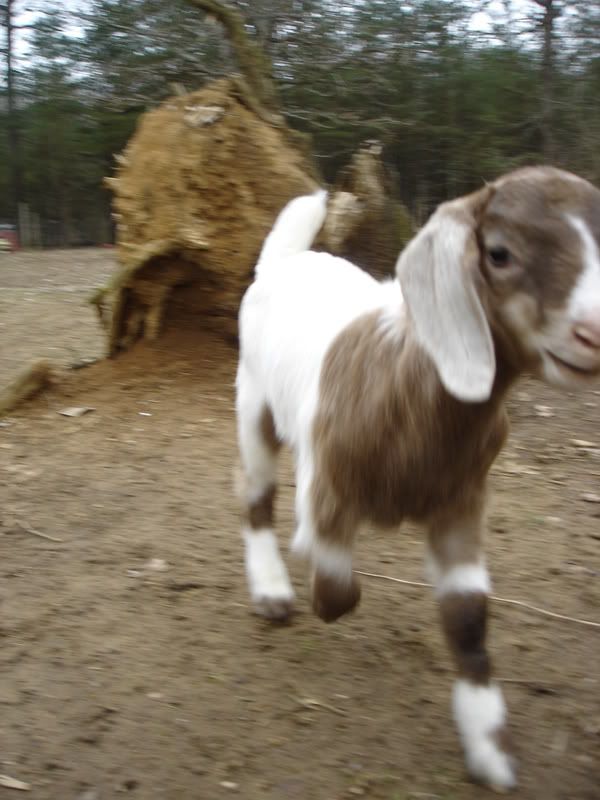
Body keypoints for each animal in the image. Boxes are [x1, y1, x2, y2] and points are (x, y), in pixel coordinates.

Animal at [235, 167, 600, 791]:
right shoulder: (327, 484)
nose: (594, 332)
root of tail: (285, 259)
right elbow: (337, 586)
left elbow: (468, 618)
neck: (407, 384)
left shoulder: (462, 501)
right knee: (256, 496)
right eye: (499, 253)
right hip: (252, 402)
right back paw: (273, 591)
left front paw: (489, 748)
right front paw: (316, 589)